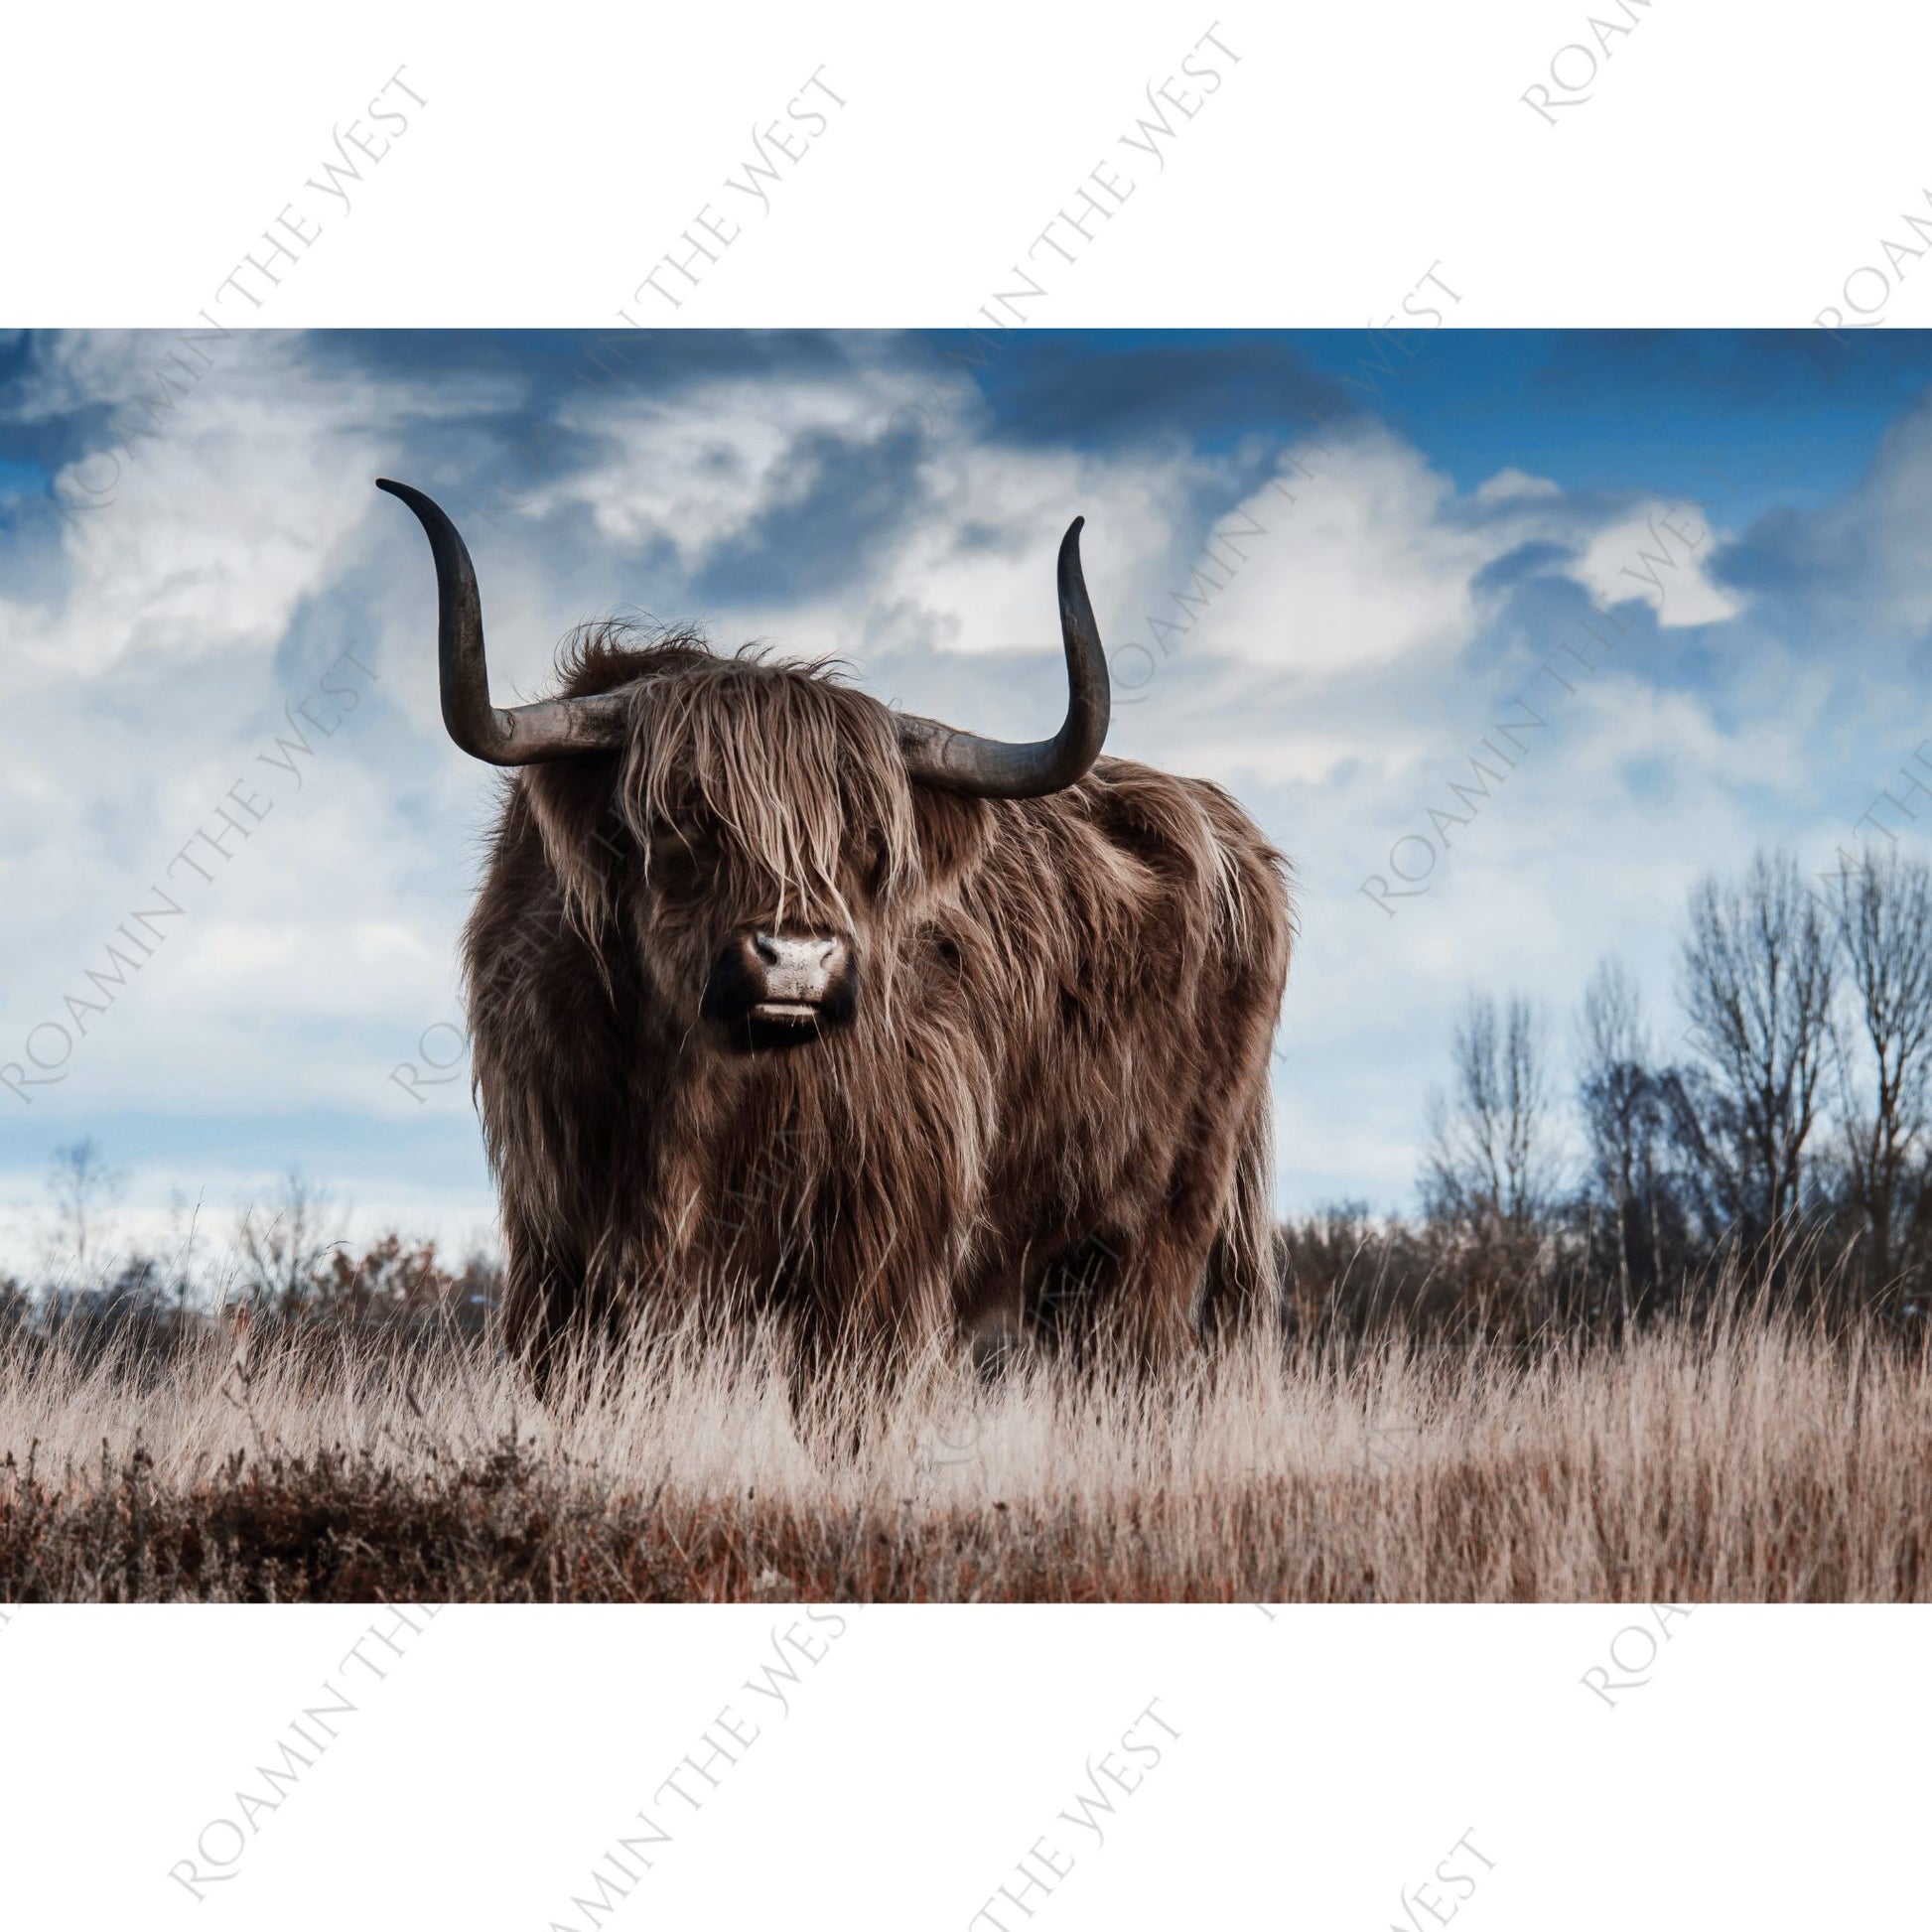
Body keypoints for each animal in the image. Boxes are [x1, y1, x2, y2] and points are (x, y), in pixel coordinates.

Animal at [378, 478, 1292, 1404]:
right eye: (681, 819)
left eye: (870, 842)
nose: (797, 961)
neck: (696, 1091)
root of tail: (1228, 827)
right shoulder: (560, 1244)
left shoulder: (879, 1248)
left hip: (1155, 1230)